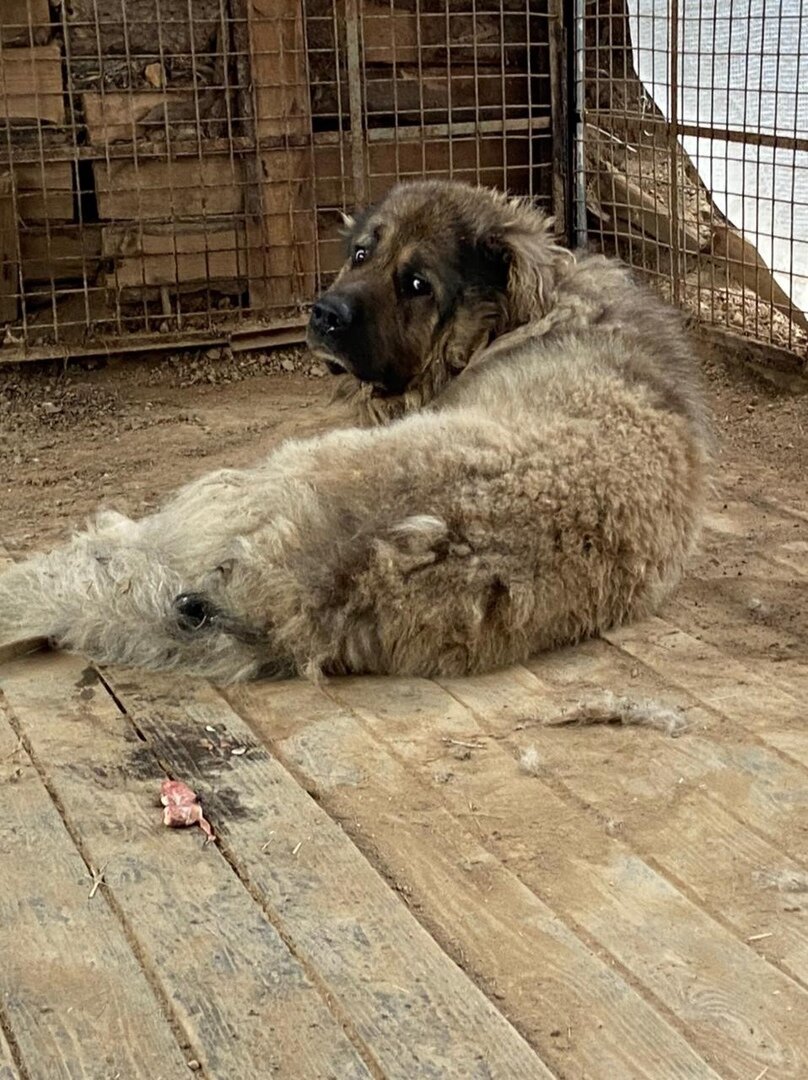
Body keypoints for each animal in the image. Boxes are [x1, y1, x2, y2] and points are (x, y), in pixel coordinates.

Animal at [0, 177, 708, 682]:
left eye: (416, 283)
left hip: (236, 482)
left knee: (104, 556)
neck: (517, 317)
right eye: (363, 253)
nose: (323, 313)